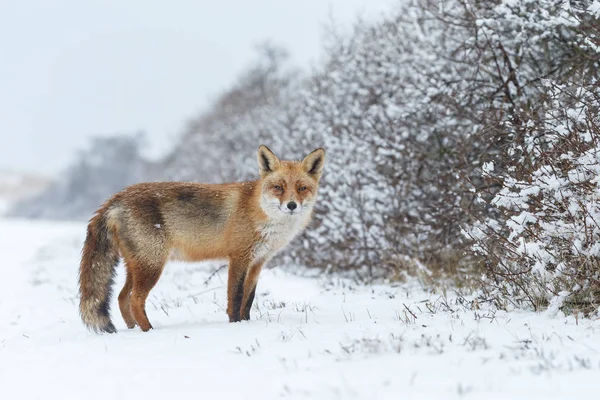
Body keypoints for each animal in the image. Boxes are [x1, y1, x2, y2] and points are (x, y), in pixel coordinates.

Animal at [79, 145, 326, 332]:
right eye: (278, 187)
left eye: (302, 188)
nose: (292, 205)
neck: (261, 212)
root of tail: (116, 197)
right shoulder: (239, 257)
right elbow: (236, 297)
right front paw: (235, 326)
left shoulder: (258, 262)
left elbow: (249, 299)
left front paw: (246, 324)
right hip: (152, 265)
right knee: (134, 300)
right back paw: (149, 331)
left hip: (138, 265)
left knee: (121, 298)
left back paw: (134, 330)